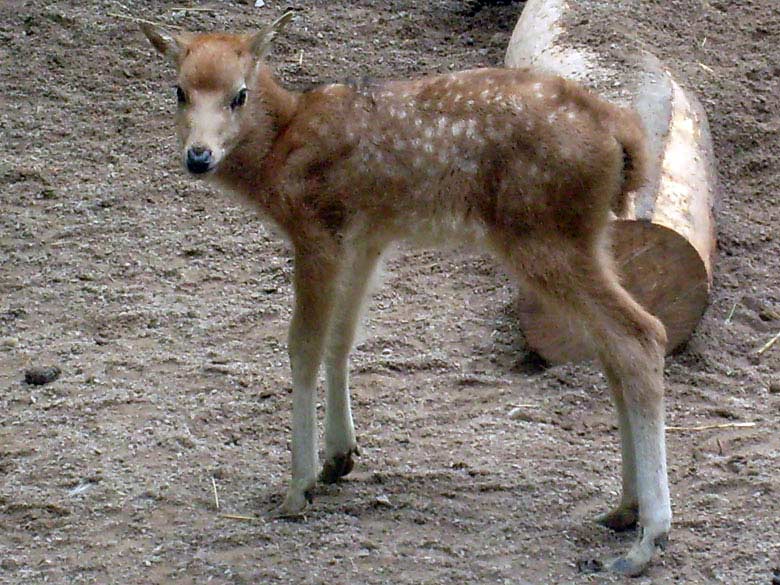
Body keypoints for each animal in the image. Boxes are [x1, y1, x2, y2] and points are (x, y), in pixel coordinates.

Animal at [143, 13, 672, 576]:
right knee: (613, 348)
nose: (198, 156)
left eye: (239, 94)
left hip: (542, 235)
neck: (279, 151)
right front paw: (338, 457)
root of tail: (623, 138)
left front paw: (297, 488)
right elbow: (342, 337)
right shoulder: (367, 238)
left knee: (642, 334)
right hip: (587, 237)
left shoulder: (317, 232)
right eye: (179, 90)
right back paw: (622, 509)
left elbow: (303, 346)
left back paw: (648, 537)